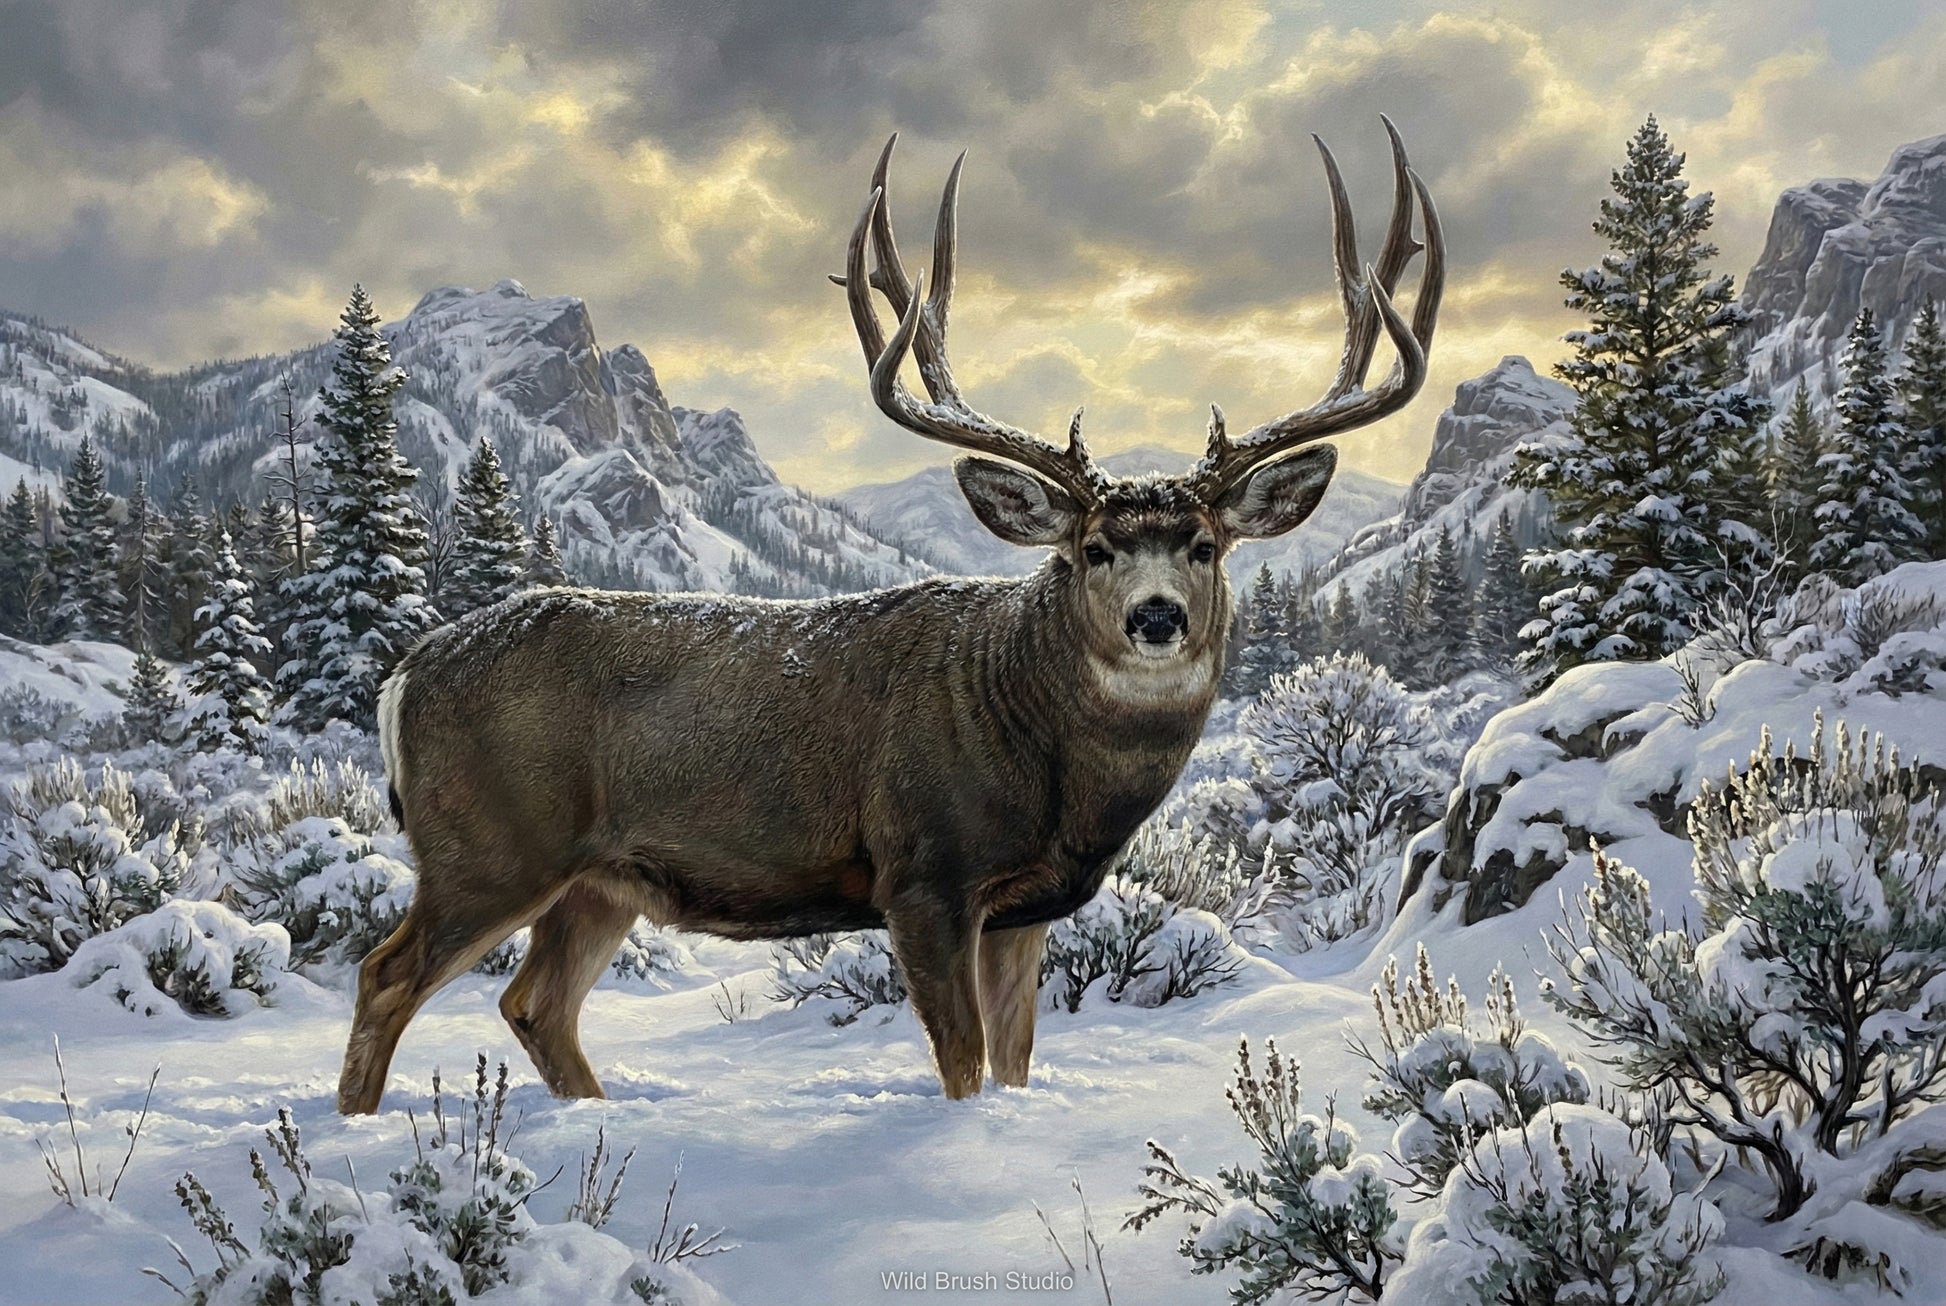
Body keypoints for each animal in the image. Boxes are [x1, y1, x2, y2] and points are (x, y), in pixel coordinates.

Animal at [337, 119, 1443, 1114]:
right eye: (1089, 550)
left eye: (1206, 546)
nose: (1158, 617)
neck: (1044, 759)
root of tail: (406, 671)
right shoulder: (922, 873)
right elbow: (962, 1066)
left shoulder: (1024, 907)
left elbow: (1013, 1062)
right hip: (489, 842)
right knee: (387, 973)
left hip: (598, 880)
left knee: (533, 1002)